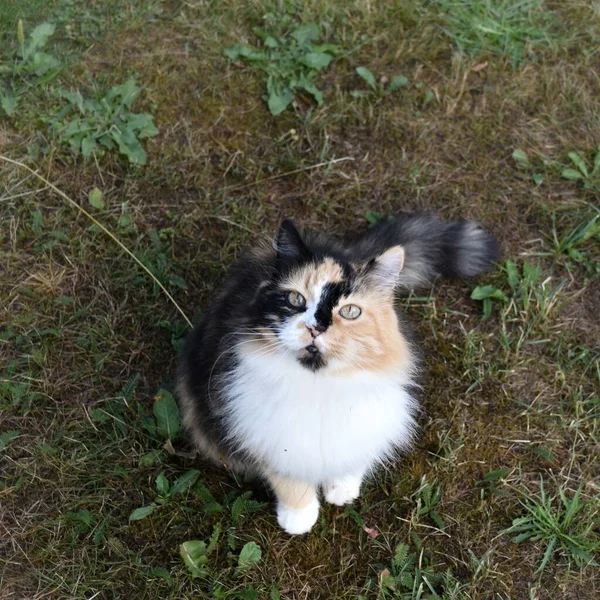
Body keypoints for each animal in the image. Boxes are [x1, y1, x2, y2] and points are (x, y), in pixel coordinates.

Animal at [176, 214, 500, 536]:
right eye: (295, 299)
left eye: (351, 312)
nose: (316, 327)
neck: (320, 385)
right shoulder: (265, 434)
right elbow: (289, 478)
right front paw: (300, 517)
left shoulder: (364, 423)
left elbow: (351, 456)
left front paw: (341, 491)